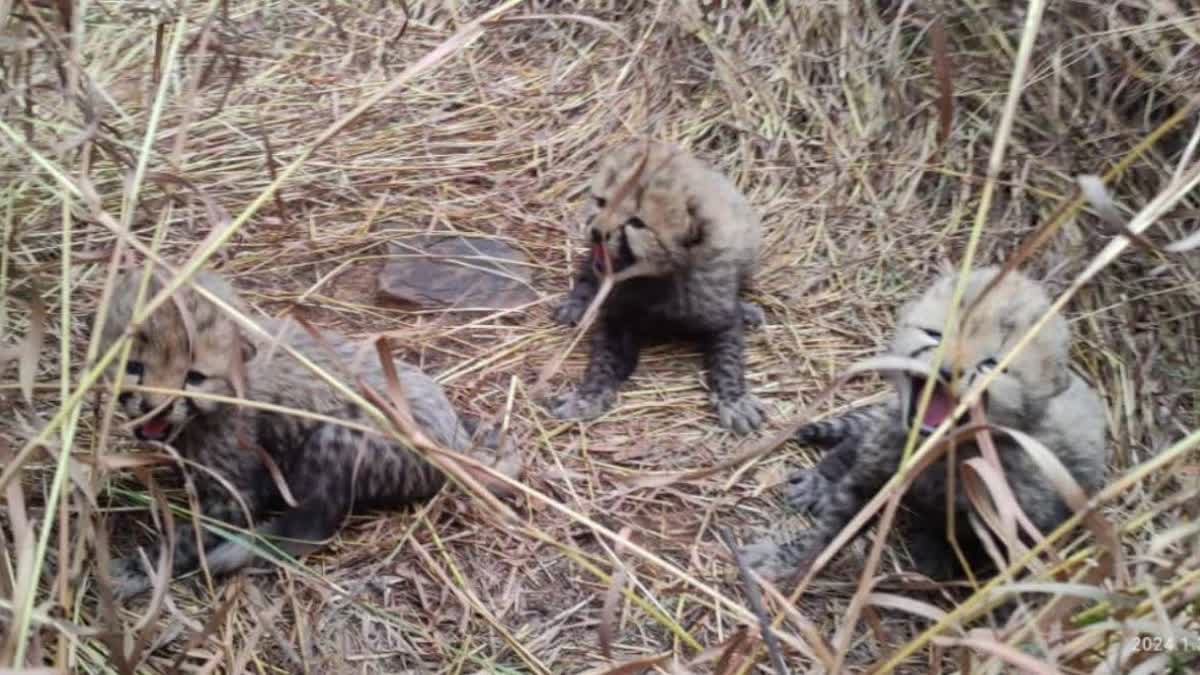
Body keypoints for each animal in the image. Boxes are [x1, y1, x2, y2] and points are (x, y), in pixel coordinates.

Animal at [96, 269, 521, 598]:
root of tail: (455, 441)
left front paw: (135, 569)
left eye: (194, 377)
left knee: (309, 529)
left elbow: (183, 539)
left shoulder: (233, 495)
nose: (155, 407)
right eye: (134, 367)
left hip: (336, 440)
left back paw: (238, 552)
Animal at [548, 141, 766, 434]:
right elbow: (604, 359)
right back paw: (577, 304)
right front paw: (588, 396)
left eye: (636, 222)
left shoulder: (720, 312)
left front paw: (734, 399)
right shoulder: (616, 318)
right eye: (601, 202)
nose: (595, 231)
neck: (658, 279)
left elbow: (728, 358)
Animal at [743, 267, 1108, 582]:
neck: (936, 450)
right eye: (934, 335)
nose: (946, 371)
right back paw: (821, 480)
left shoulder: (1019, 523)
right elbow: (830, 528)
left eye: (990, 365)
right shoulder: (875, 474)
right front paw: (784, 557)